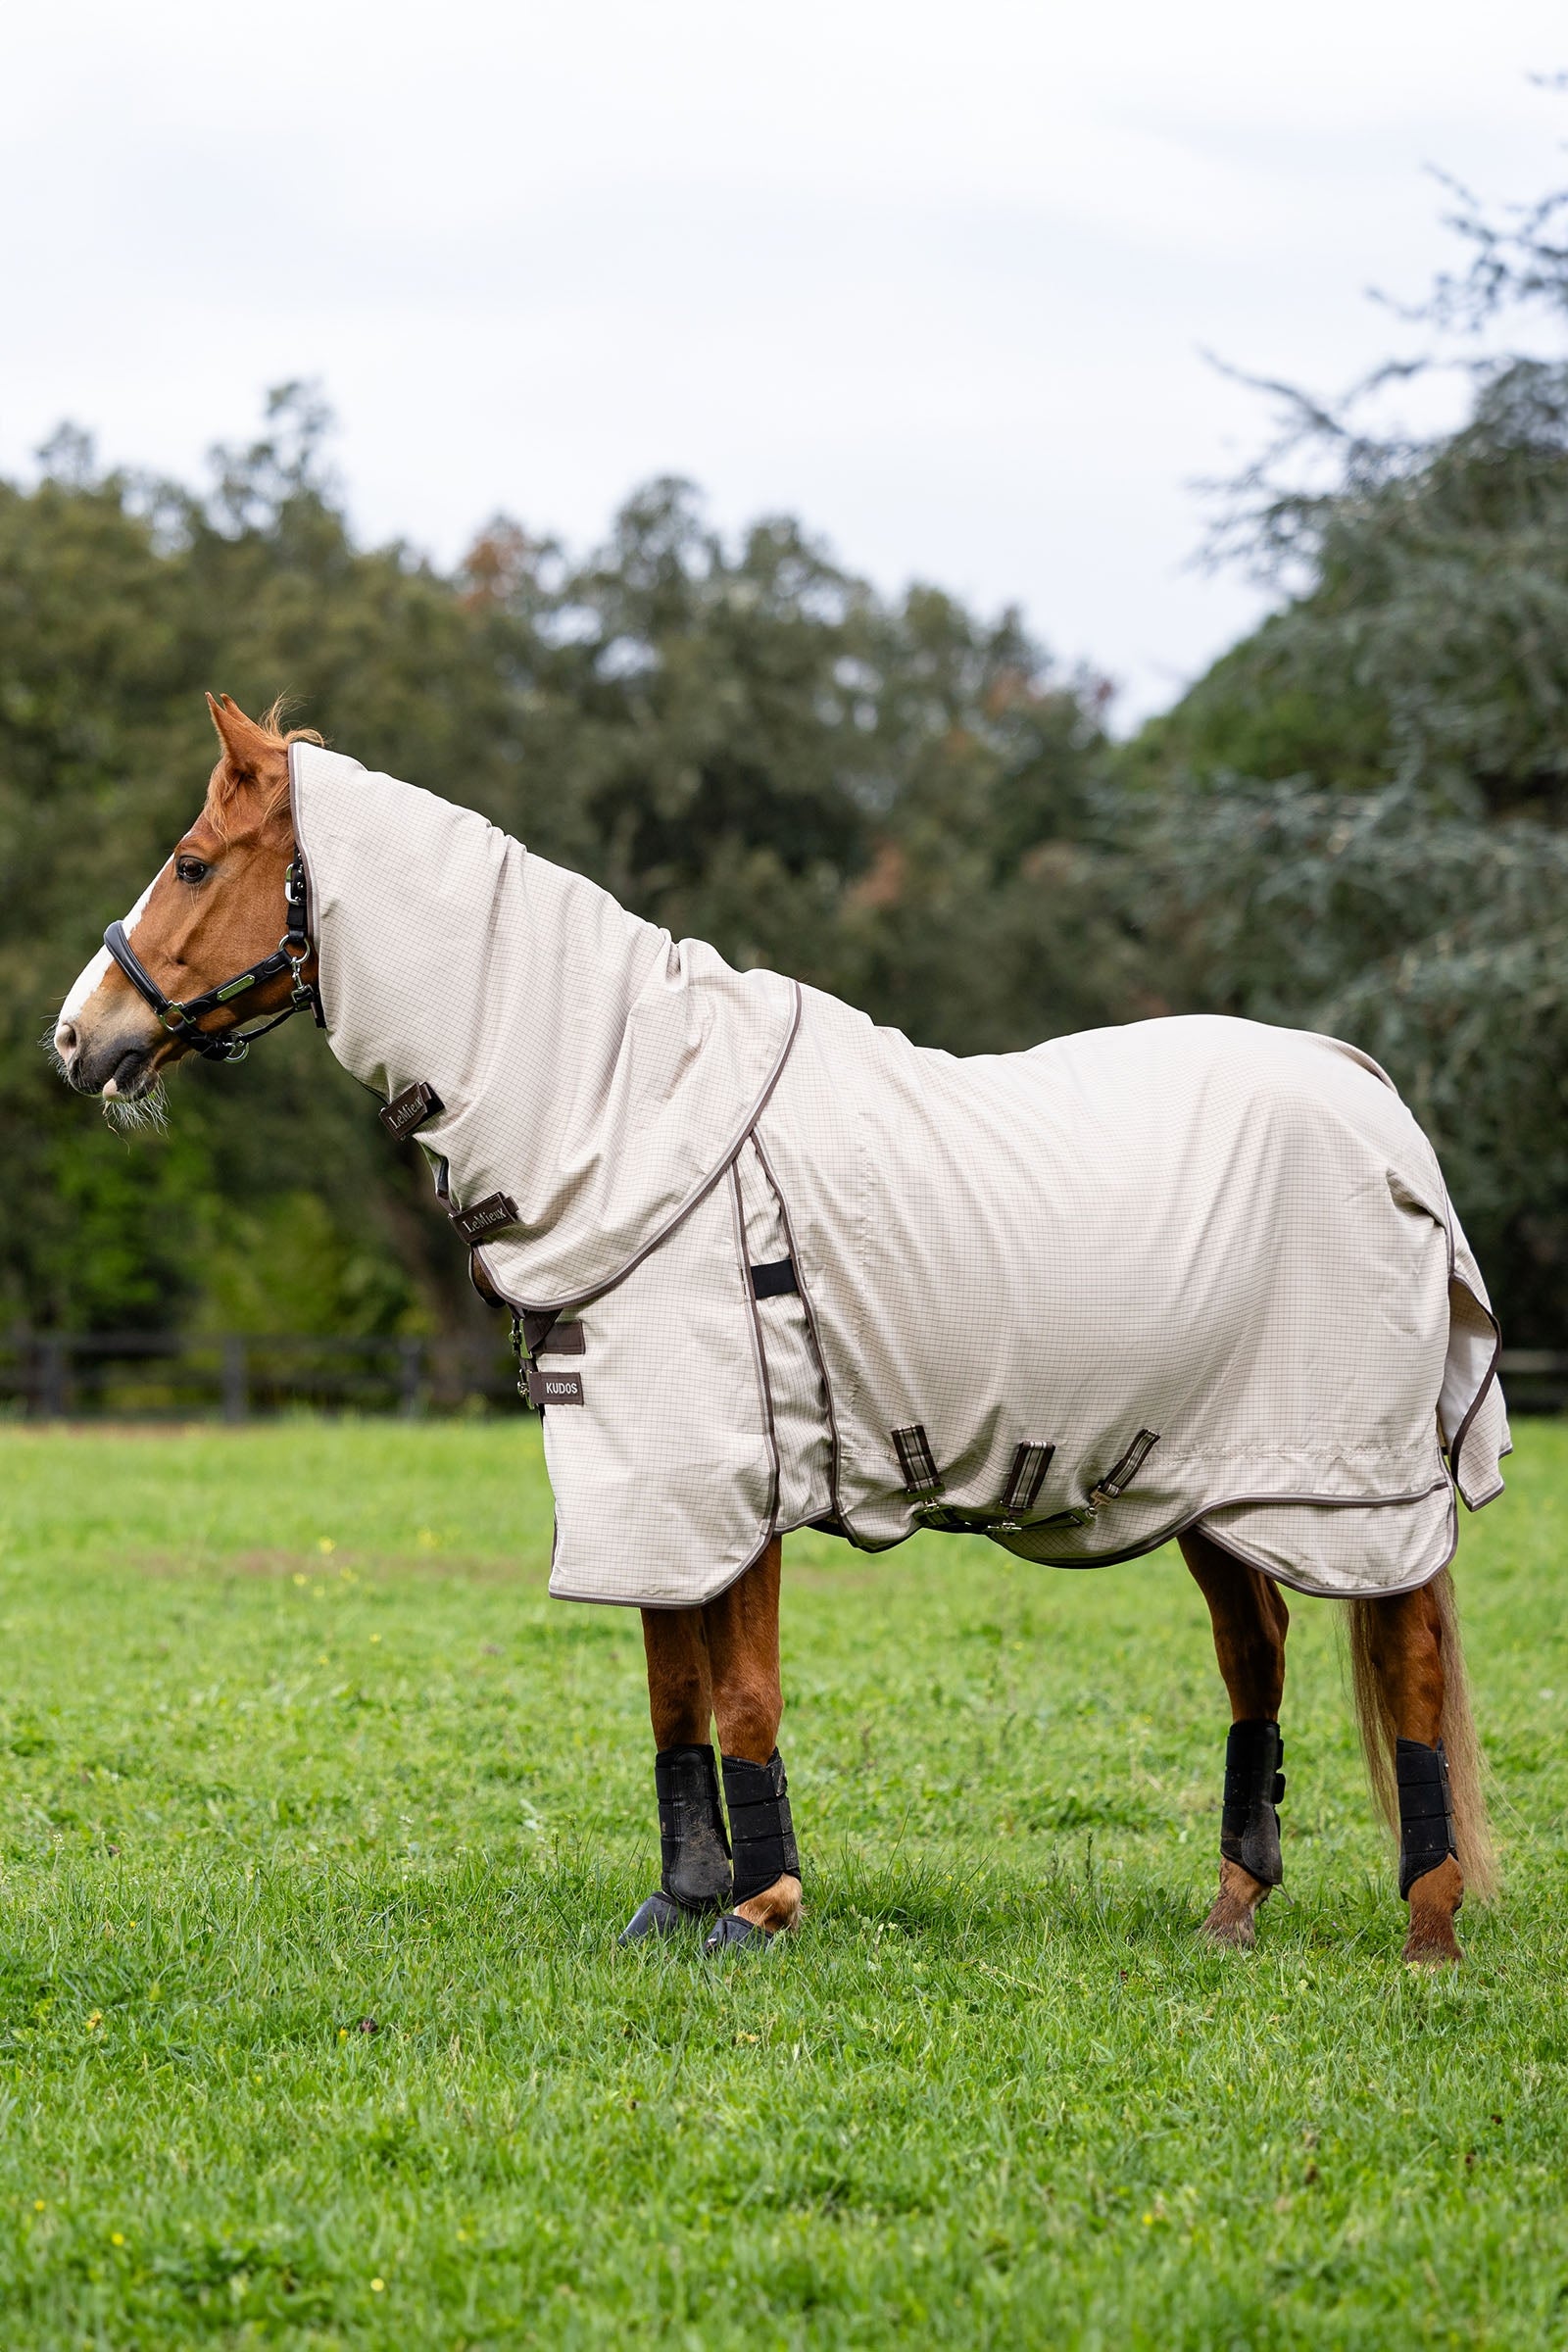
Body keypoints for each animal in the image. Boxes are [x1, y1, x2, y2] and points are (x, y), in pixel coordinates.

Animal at [51, 693, 1504, 1966]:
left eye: (192, 863)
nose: (76, 1039)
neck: (631, 1112)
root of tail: (1371, 1097)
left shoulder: (725, 1480)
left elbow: (740, 1690)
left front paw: (759, 1914)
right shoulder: (645, 1487)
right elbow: (671, 1689)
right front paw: (680, 1903)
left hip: (1344, 1488)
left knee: (1407, 1664)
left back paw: (1428, 1934)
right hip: (1213, 1481)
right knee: (1256, 1659)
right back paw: (1232, 1913)